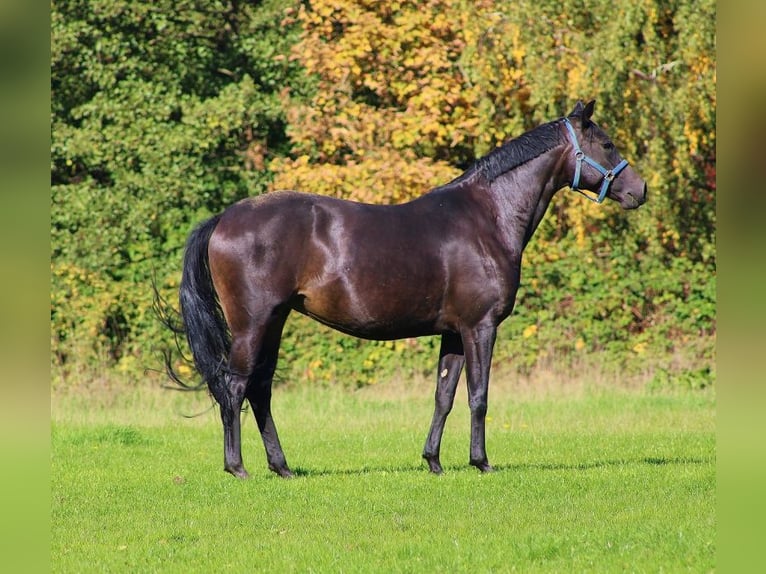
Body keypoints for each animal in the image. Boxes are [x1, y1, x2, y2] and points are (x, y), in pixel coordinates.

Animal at [166, 101, 648, 480]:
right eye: (607, 144)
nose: (640, 190)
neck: (487, 217)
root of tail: (225, 218)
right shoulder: (480, 327)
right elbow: (478, 396)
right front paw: (481, 462)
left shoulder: (453, 332)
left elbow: (444, 396)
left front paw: (433, 461)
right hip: (253, 324)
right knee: (235, 387)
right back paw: (238, 468)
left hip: (275, 321)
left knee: (260, 389)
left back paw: (281, 467)